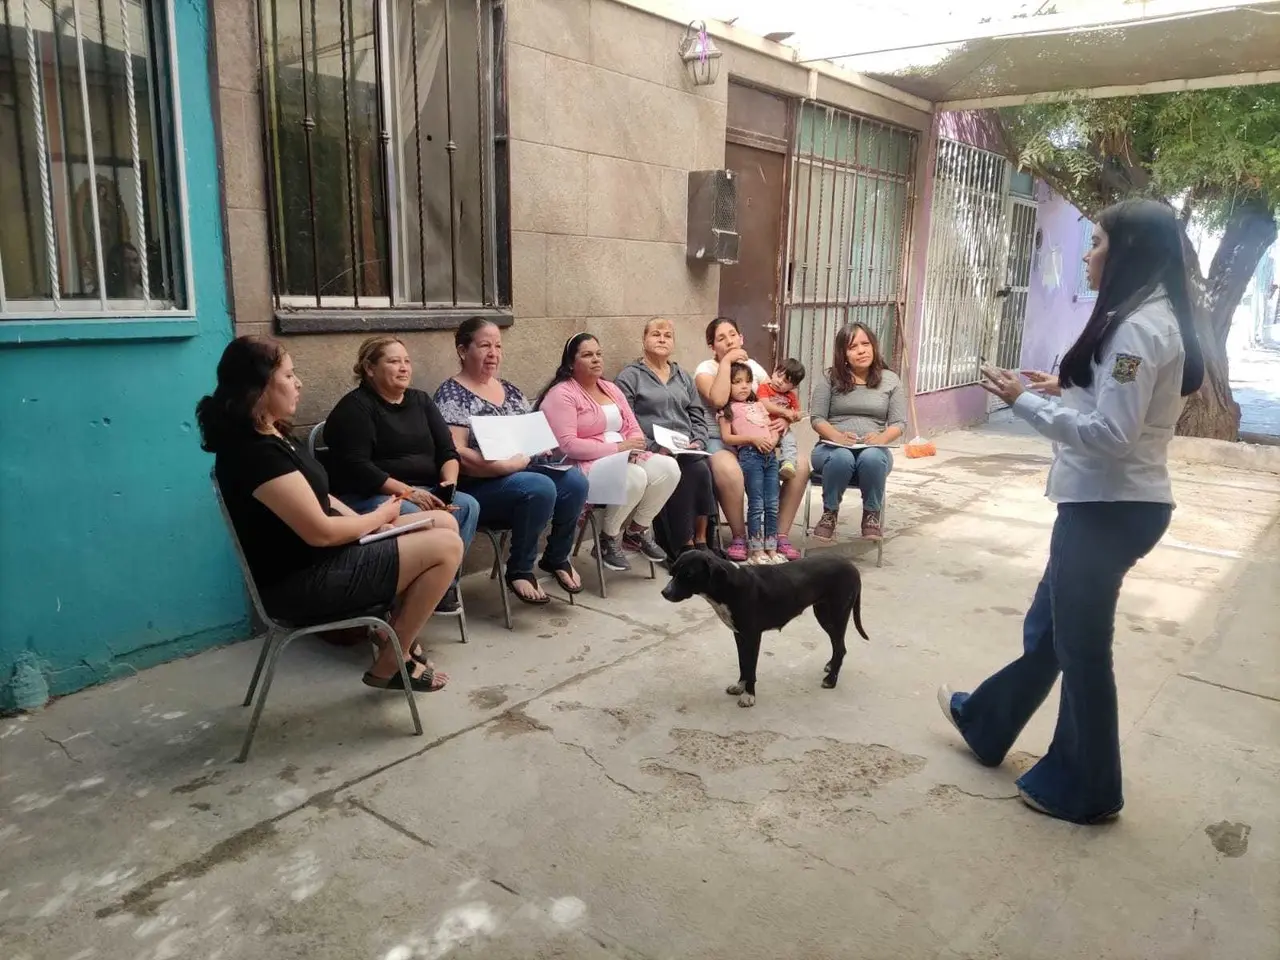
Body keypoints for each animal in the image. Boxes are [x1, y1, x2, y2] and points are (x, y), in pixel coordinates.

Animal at [660, 547, 870, 706]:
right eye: (672, 572)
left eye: (688, 575)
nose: (664, 592)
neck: (729, 585)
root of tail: (852, 567)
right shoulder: (739, 635)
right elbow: (743, 663)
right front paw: (740, 686)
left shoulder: (753, 636)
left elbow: (751, 667)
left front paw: (749, 695)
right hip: (824, 614)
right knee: (837, 647)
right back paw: (830, 666)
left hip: (836, 615)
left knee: (841, 648)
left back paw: (831, 680)